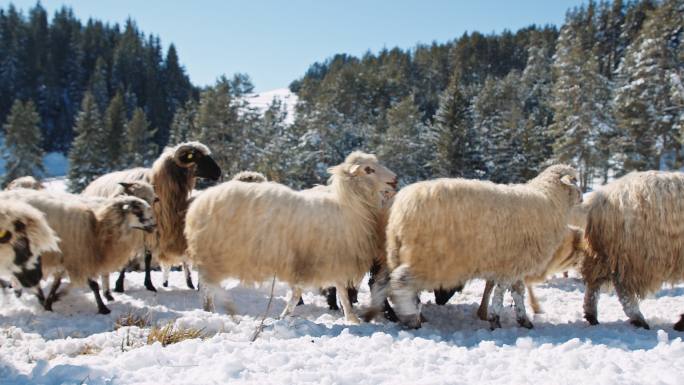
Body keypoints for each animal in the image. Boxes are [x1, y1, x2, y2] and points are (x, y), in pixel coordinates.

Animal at [0, 188, 155, 312]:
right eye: (137, 210)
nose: (154, 225)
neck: (97, 228)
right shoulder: (80, 257)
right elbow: (93, 285)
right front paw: (103, 308)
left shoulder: (69, 259)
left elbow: (57, 283)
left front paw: (50, 301)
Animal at [82, 142, 222, 290]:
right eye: (198, 156)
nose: (219, 172)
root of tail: (93, 183)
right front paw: (122, 285)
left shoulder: (154, 230)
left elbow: (148, 256)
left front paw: (148, 284)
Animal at [184, 150, 398, 320]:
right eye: (368, 169)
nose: (395, 179)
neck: (347, 205)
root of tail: (201, 201)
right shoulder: (318, 259)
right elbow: (303, 292)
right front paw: (285, 316)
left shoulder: (330, 258)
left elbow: (340, 292)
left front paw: (351, 318)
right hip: (218, 251)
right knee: (208, 284)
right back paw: (219, 308)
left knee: (207, 284)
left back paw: (210, 309)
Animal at [368, 164, 584, 328]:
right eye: (574, 180)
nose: (582, 198)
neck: (550, 201)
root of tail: (399, 208)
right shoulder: (510, 265)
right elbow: (501, 293)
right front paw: (496, 321)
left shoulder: (514, 264)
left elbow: (517, 293)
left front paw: (523, 320)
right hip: (426, 257)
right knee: (400, 282)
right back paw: (411, 317)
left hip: (395, 253)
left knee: (382, 282)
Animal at [580, 171, 684, 330]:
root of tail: (599, 200)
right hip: (635, 253)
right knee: (622, 287)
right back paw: (638, 319)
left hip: (604, 252)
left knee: (595, 281)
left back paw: (591, 316)